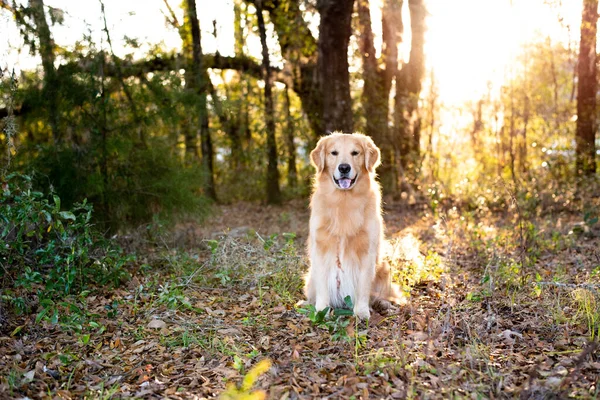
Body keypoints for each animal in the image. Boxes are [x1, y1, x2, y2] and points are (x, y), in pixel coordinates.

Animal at [304, 133, 404, 320]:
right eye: (334, 152)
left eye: (355, 153)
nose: (344, 168)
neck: (344, 200)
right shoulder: (320, 248)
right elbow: (323, 286)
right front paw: (322, 311)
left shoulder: (368, 251)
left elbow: (364, 287)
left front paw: (362, 312)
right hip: (310, 276)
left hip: (385, 268)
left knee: (384, 295)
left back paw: (384, 304)